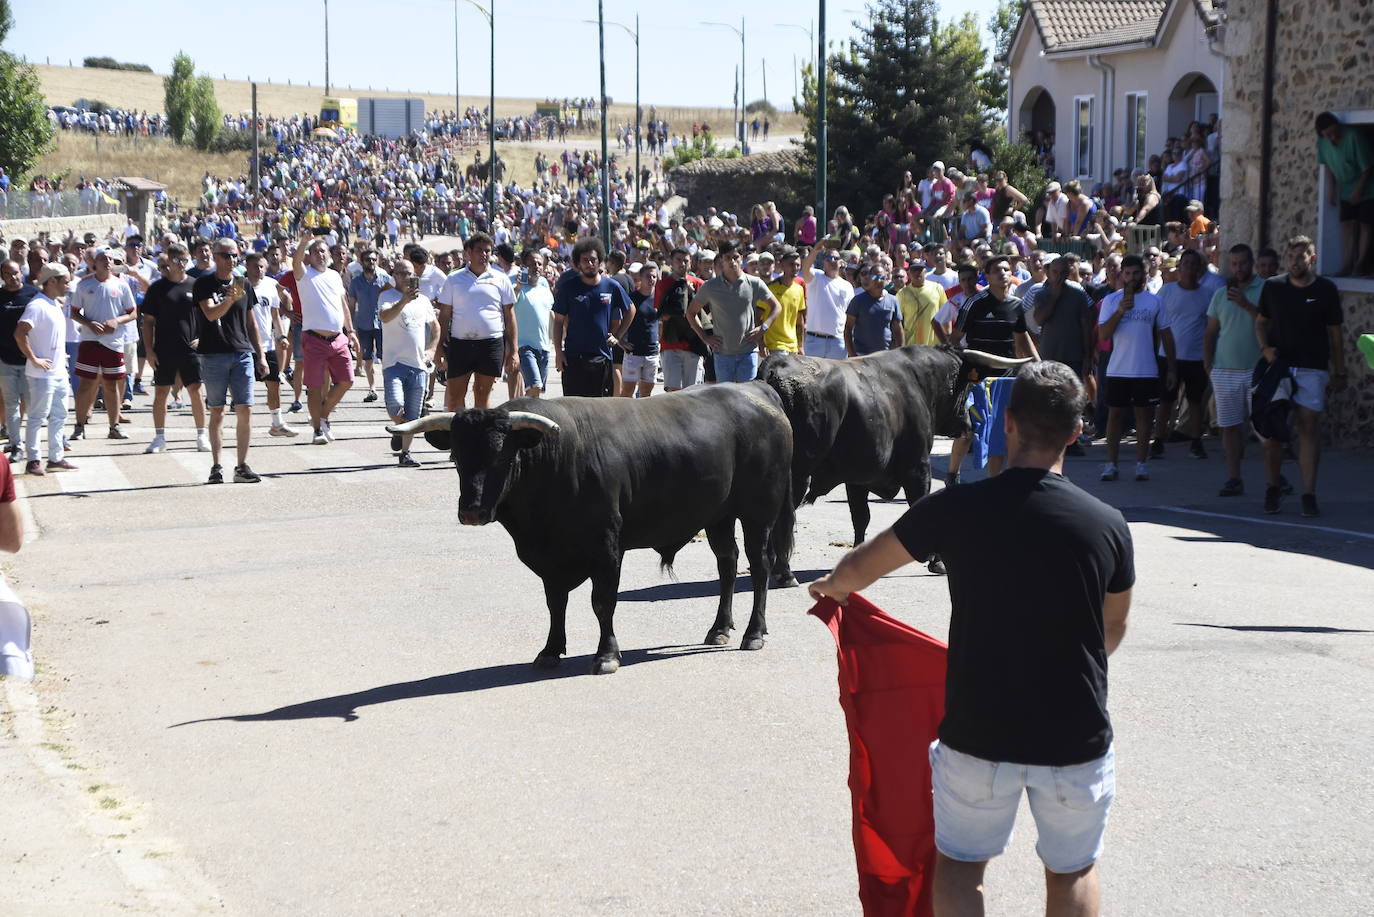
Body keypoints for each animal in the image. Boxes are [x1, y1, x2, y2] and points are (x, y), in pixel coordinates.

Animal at [387, 379, 796, 673]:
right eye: (457, 455)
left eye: (503, 455)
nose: (471, 511)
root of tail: (757, 391)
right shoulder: (550, 559)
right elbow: (555, 603)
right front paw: (550, 650)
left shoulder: (607, 548)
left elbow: (602, 602)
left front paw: (606, 655)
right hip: (719, 517)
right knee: (727, 564)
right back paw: (719, 628)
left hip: (759, 513)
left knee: (759, 566)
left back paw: (753, 633)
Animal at [758, 343, 1027, 580]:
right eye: (967, 386)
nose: (967, 426)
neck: (919, 381)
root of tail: (777, 365)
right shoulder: (918, 468)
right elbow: (919, 506)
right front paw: (937, 562)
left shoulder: (857, 478)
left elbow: (861, 517)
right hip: (798, 475)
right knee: (781, 519)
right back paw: (784, 571)